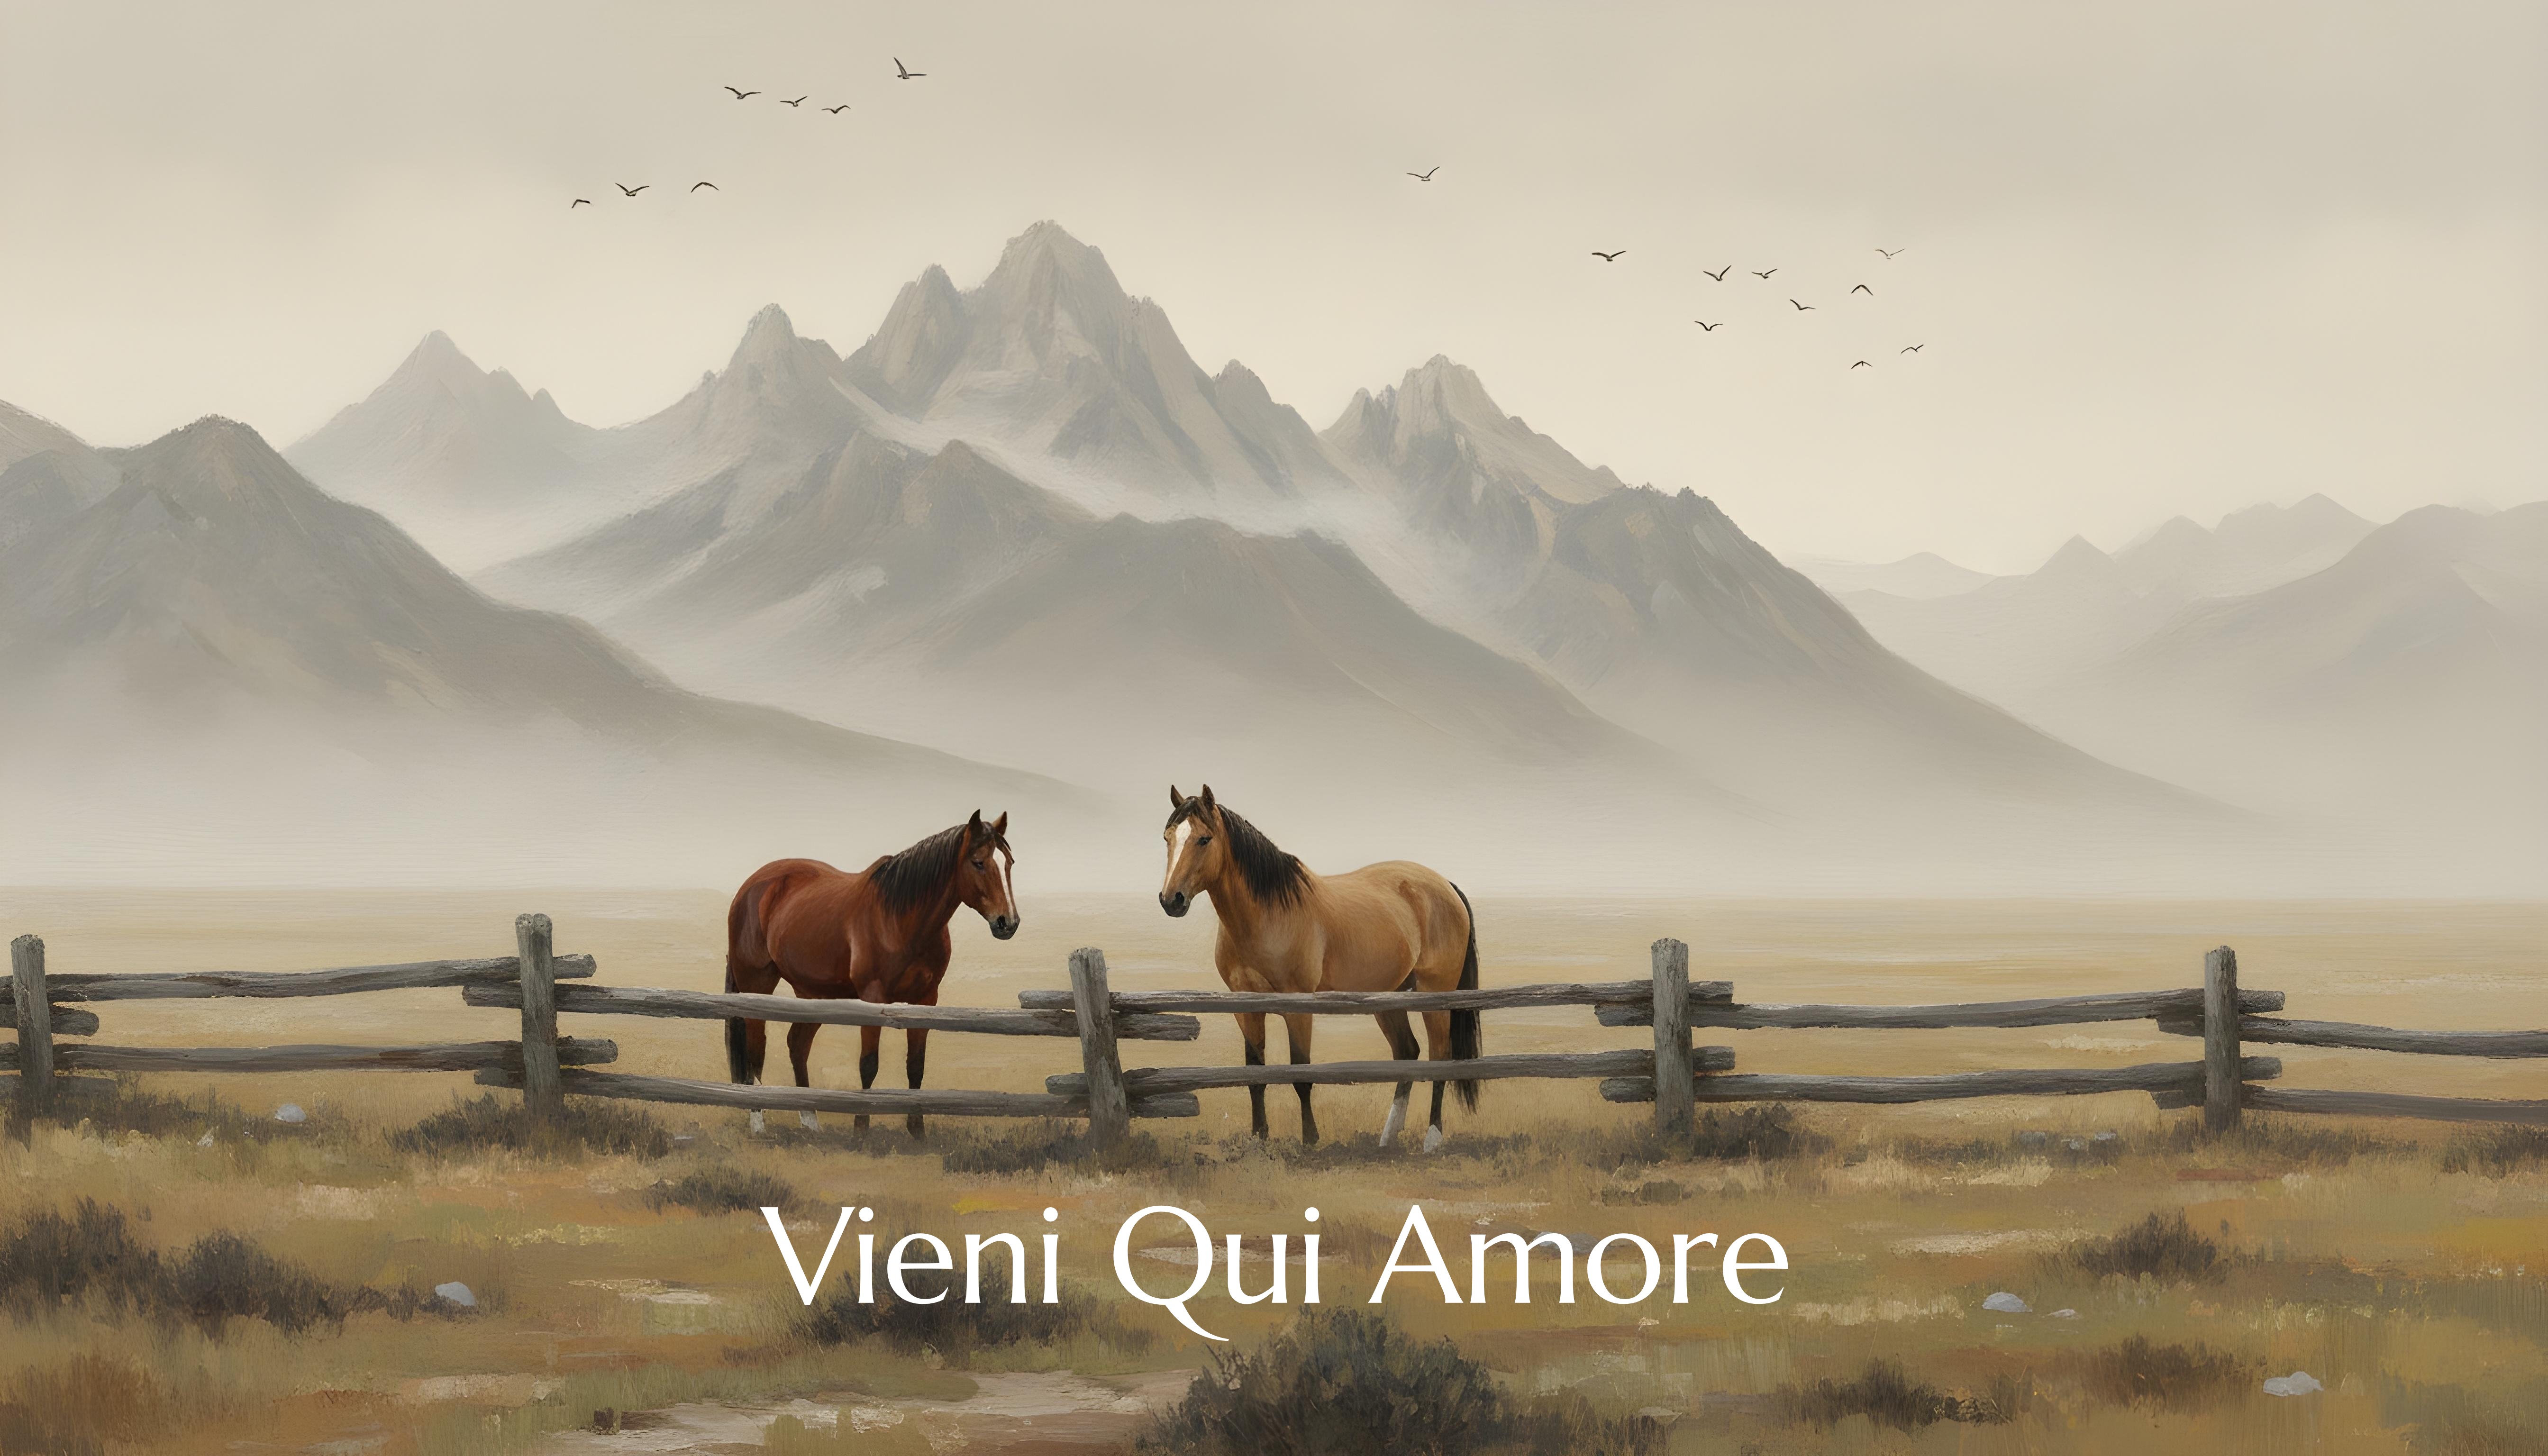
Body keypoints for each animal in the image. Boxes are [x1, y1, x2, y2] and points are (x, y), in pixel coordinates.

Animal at [723, 811, 1017, 1138]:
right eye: (978, 862)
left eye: (1009, 863)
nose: (1007, 922)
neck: (899, 919)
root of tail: (751, 887)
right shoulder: (873, 999)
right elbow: (869, 1065)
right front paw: (861, 1133)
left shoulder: (926, 1000)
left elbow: (916, 1066)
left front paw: (917, 1133)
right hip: (757, 985)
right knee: (756, 1048)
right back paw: (758, 1124)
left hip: (813, 994)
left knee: (797, 1046)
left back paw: (810, 1121)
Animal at [1156, 784, 1480, 1150]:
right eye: (1168, 838)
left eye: (1204, 839)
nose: (1171, 900)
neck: (1269, 914)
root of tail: (1445, 885)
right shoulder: (1247, 1008)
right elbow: (1255, 1076)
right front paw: (1260, 1138)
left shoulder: (1298, 1007)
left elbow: (1302, 1076)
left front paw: (1310, 1140)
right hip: (1388, 998)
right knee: (1407, 1053)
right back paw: (1387, 1138)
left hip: (1435, 994)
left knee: (1440, 1058)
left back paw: (1432, 1139)